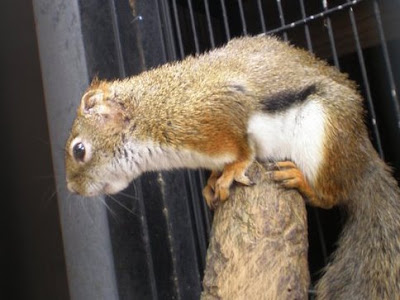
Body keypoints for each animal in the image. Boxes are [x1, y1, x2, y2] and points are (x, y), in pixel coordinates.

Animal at [65, 34, 400, 298]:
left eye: (79, 150)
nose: (72, 188)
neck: (153, 113)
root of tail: (362, 159)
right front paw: (212, 181)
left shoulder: (215, 109)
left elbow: (243, 148)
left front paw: (233, 170)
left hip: (322, 134)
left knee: (332, 195)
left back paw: (302, 182)